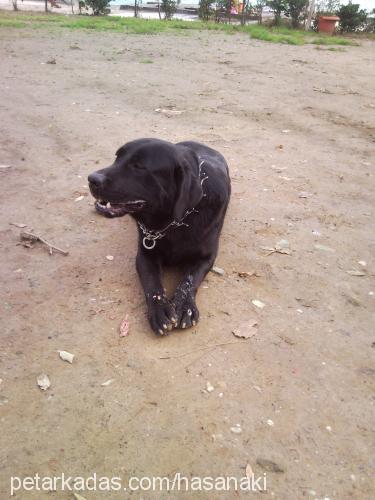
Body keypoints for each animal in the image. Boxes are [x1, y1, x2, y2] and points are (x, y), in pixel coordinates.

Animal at [88, 139, 231, 334]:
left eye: (139, 166)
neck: (176, 223)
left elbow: (189, 280)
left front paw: (185, 306)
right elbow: (152, 282)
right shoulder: (145, 255)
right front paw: (160, 310)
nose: (91, 178)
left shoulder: (206, 257)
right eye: (117, 157)